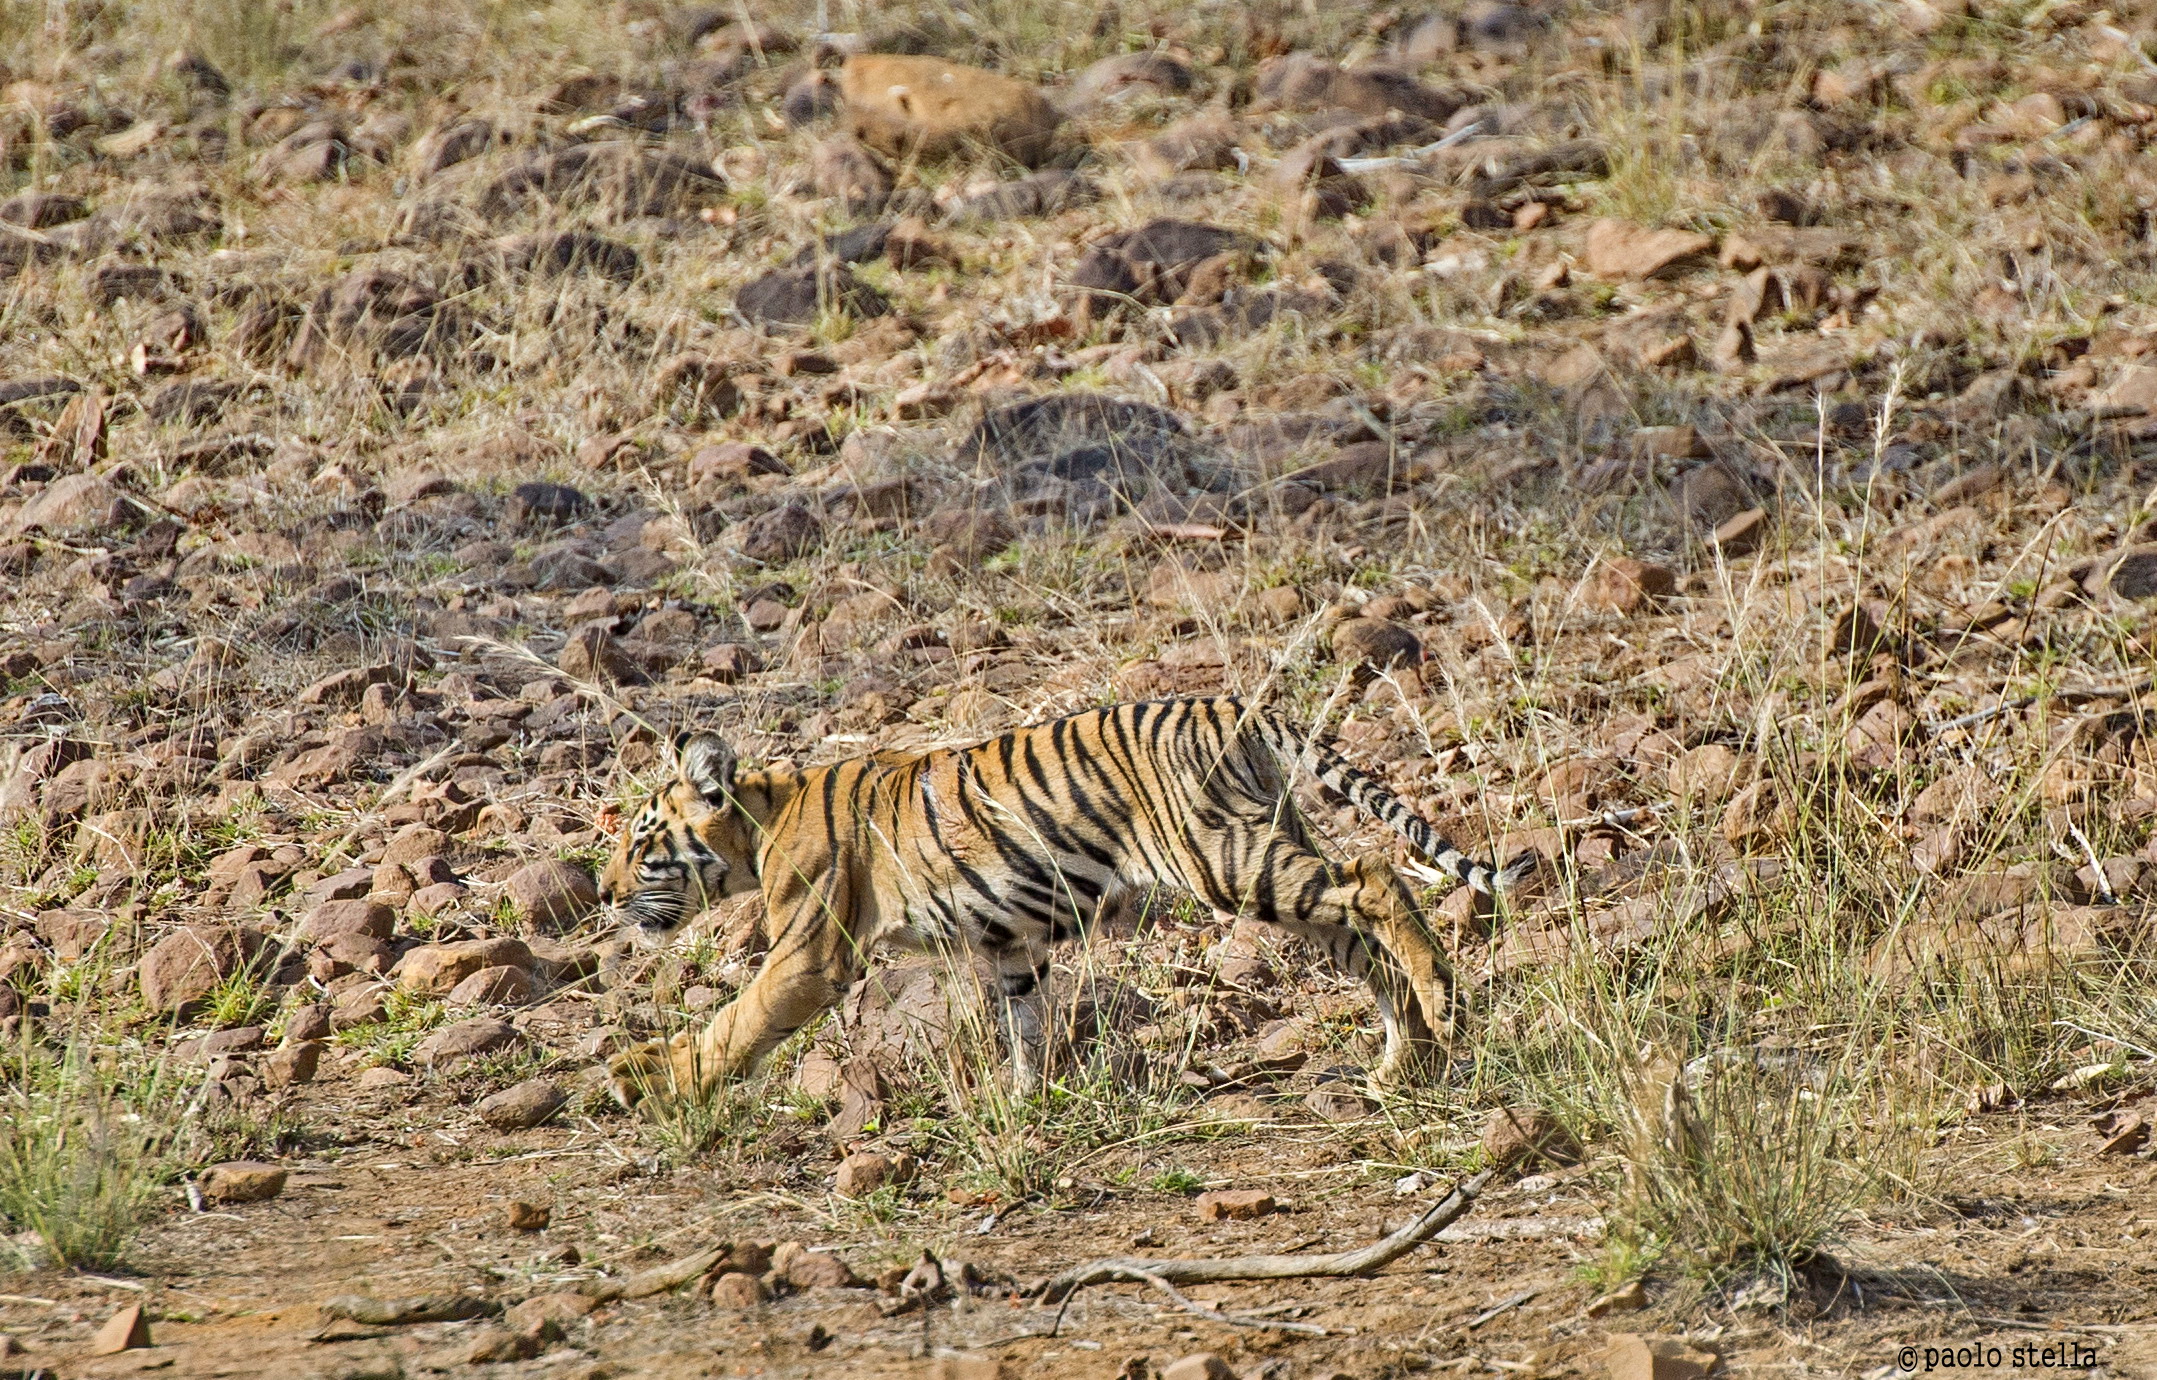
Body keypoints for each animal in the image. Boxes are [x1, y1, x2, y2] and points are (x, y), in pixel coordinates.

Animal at [597, 695, 1524, 1108]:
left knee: (1376, 875)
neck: (757, 826)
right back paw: (1405, 1060)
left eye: (642, 843)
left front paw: (660, 1080)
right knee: (1362, 934)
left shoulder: (809, 953)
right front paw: (1023, 1102)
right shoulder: (1011, 943)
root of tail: (1225, 700)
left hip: (1226, 860)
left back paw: (1442, 1004)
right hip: (1267, 858)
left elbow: (738, 1020)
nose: (603, 894)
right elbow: (1025, 1026)